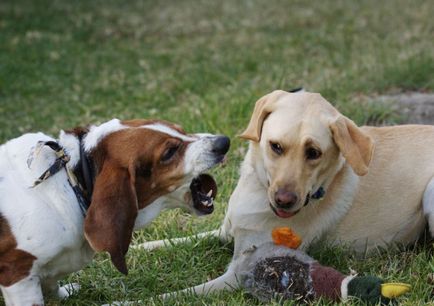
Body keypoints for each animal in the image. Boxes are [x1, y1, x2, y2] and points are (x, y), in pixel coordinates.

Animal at [0, 118, 231, 304]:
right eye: (169, 152)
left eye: (180, 130)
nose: (224, 142)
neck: (72, 178)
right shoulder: (18, 275)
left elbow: (51, 284)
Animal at [137, 90, 434, 298]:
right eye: (275, 146)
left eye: (313, 153)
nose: (284, 201)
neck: (258, 192)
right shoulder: (225, 233)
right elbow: (174, 240)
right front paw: (139, 247)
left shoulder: (239, 272)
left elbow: (174, 296)